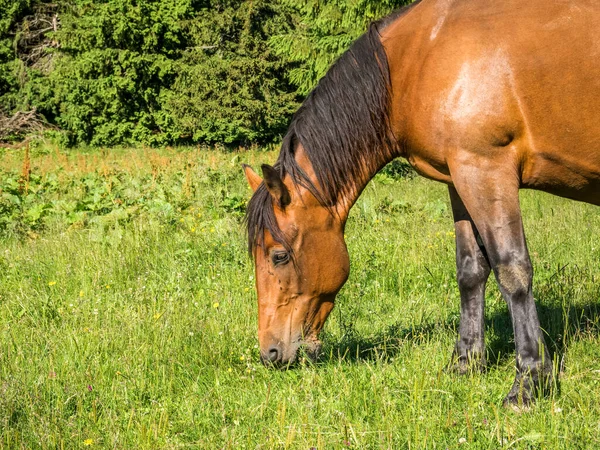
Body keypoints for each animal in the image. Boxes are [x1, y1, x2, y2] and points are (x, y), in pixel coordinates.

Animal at [241, 0, 600, 408]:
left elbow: (513, 271)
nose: (269, 353)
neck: (416, 60)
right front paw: (465, 364)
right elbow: (471, 271)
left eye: (278, 255)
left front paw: (529, 382)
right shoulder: (459, 179)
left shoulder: (487, 170)